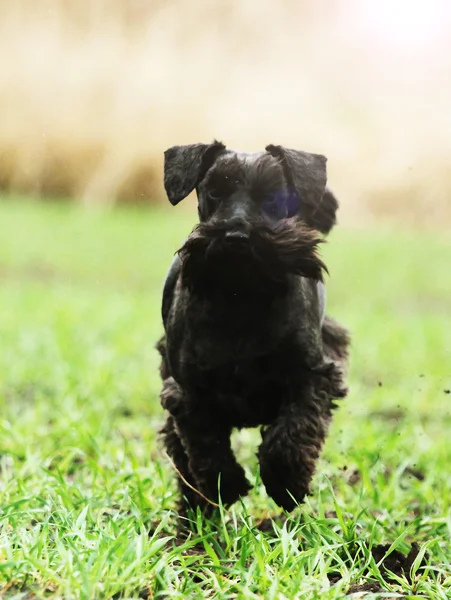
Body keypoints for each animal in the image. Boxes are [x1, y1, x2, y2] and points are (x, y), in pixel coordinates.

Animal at [157, 139, 352, 516]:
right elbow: (204, 444)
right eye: (214, 191)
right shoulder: (188, 390)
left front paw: (286, 484)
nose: (236, 236)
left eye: (274, 196)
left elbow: (292, 431)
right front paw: (226, 485)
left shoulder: (312, 376)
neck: (242, 298)